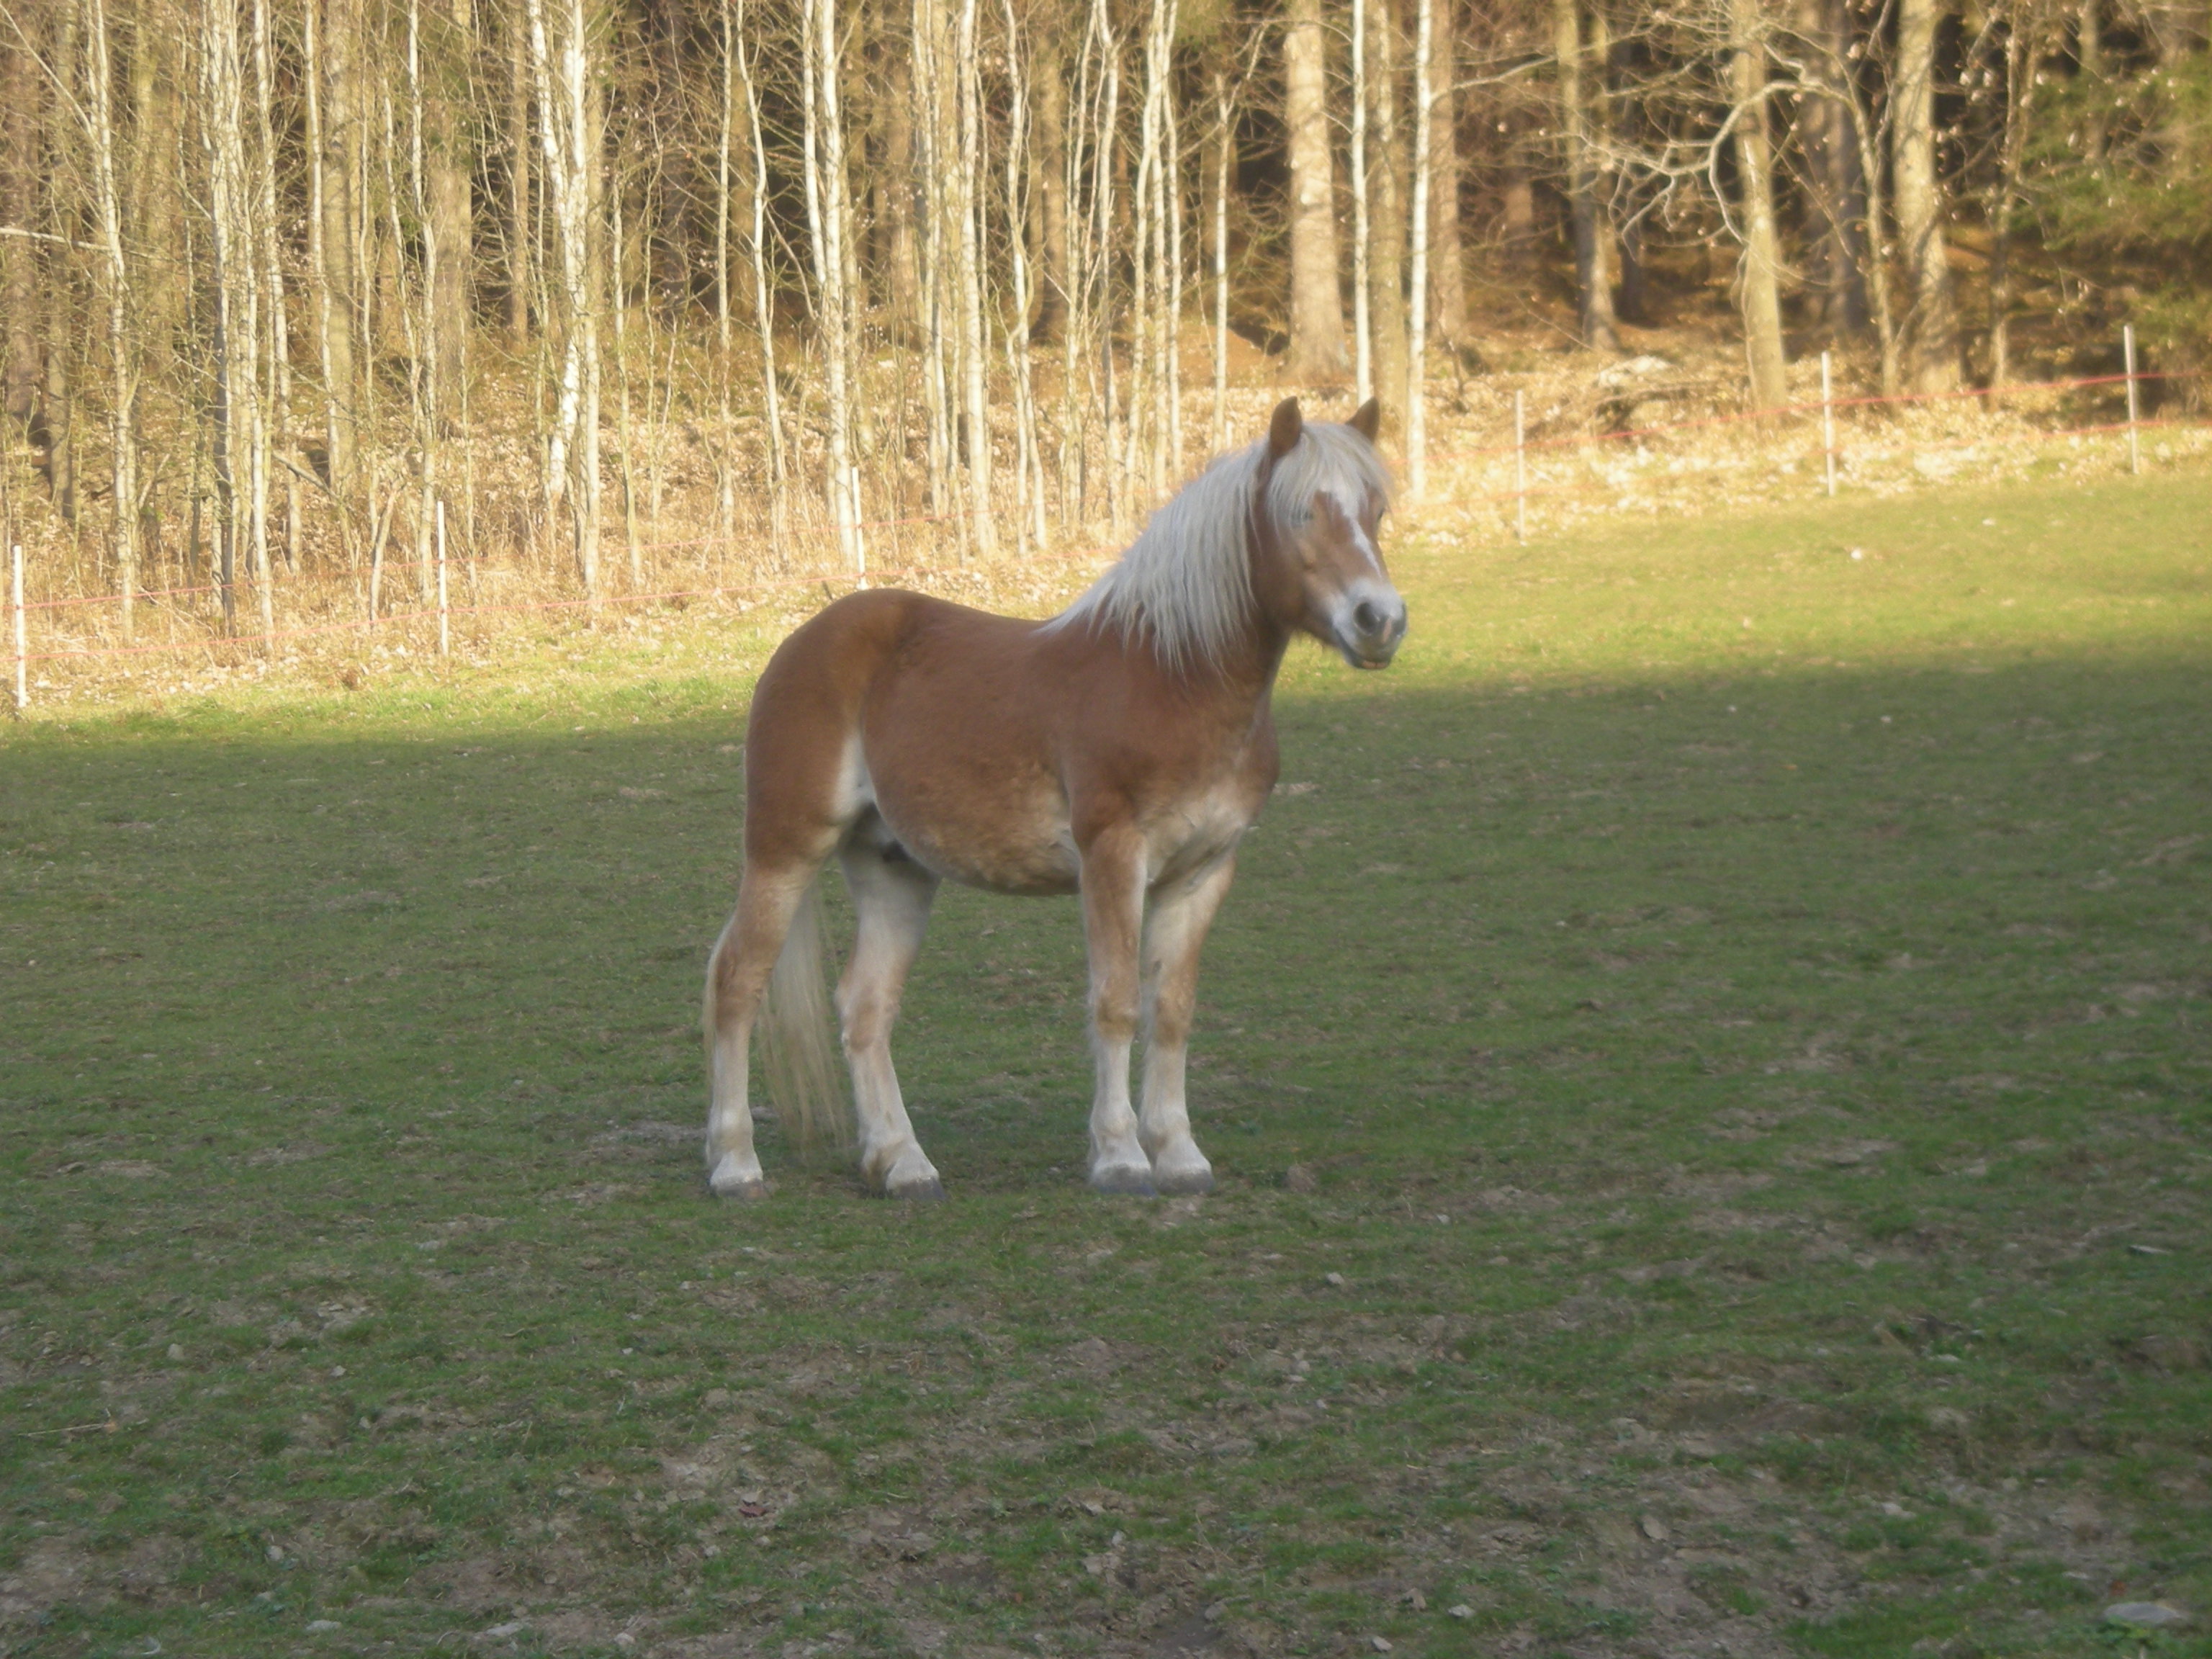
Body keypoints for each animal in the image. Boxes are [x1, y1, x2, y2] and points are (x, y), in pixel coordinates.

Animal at [698, 403, 1406, 1212]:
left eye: (1375, 512)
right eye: (1299, 514)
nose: (1380, 620)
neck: (1174, 677)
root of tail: (804, 641)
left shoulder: (1204, 870)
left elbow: (1172, 1011)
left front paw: (1180, 1155)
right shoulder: (1113, 856)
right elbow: (1117, 1002)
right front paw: (1122, 1158)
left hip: (892, 867)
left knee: (865, 1006)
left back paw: (902, 1164)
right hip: (785, 848)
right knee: (737, 982)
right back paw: (736, 1165)